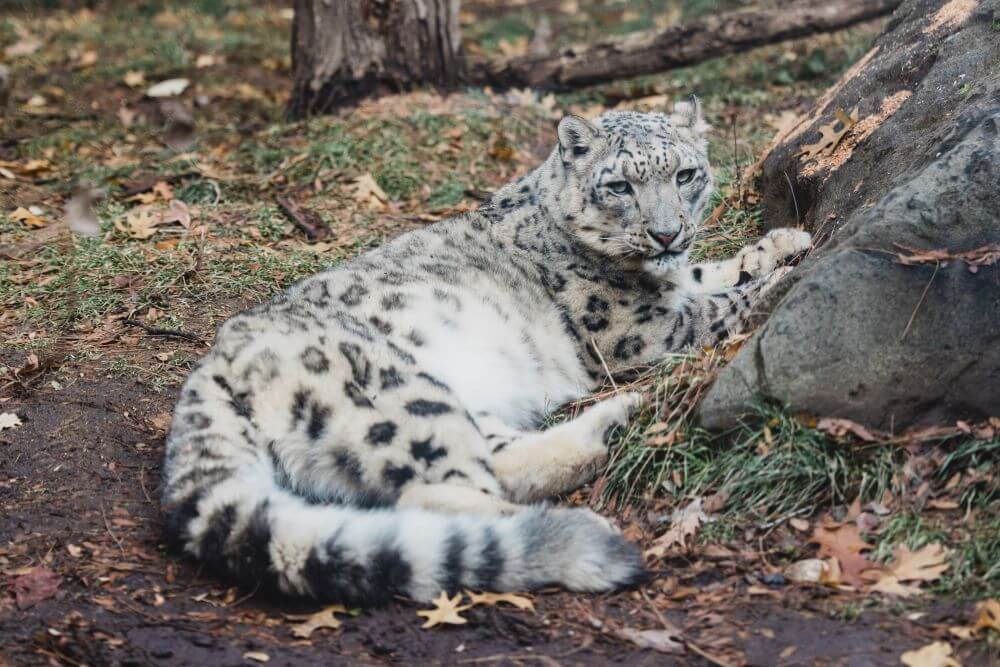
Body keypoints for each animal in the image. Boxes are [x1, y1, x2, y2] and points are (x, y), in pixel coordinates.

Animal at [161, 101, 811, 605]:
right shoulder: (636, 328)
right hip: (397, 396)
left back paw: (613, 422)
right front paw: (781, 280)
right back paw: (578, 520)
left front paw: (785, 241)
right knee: (437, 494)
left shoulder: (673, 283)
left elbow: (706, 273)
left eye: (685, 174)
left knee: (496, 465)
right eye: (619, 186)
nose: (666, 233)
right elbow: (715, 305)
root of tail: (212, 364)